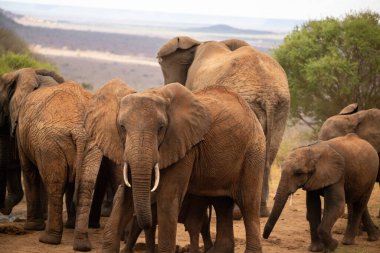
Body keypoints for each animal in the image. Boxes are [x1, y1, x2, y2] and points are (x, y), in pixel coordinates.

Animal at [83, 82, 266, 252]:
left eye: (161, 128)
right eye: (122, 127)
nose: (148, 224)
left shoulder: (185, 147)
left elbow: (167, 198)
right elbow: (125, 195)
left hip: (253, 153)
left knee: (248, 203)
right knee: (222, 204)